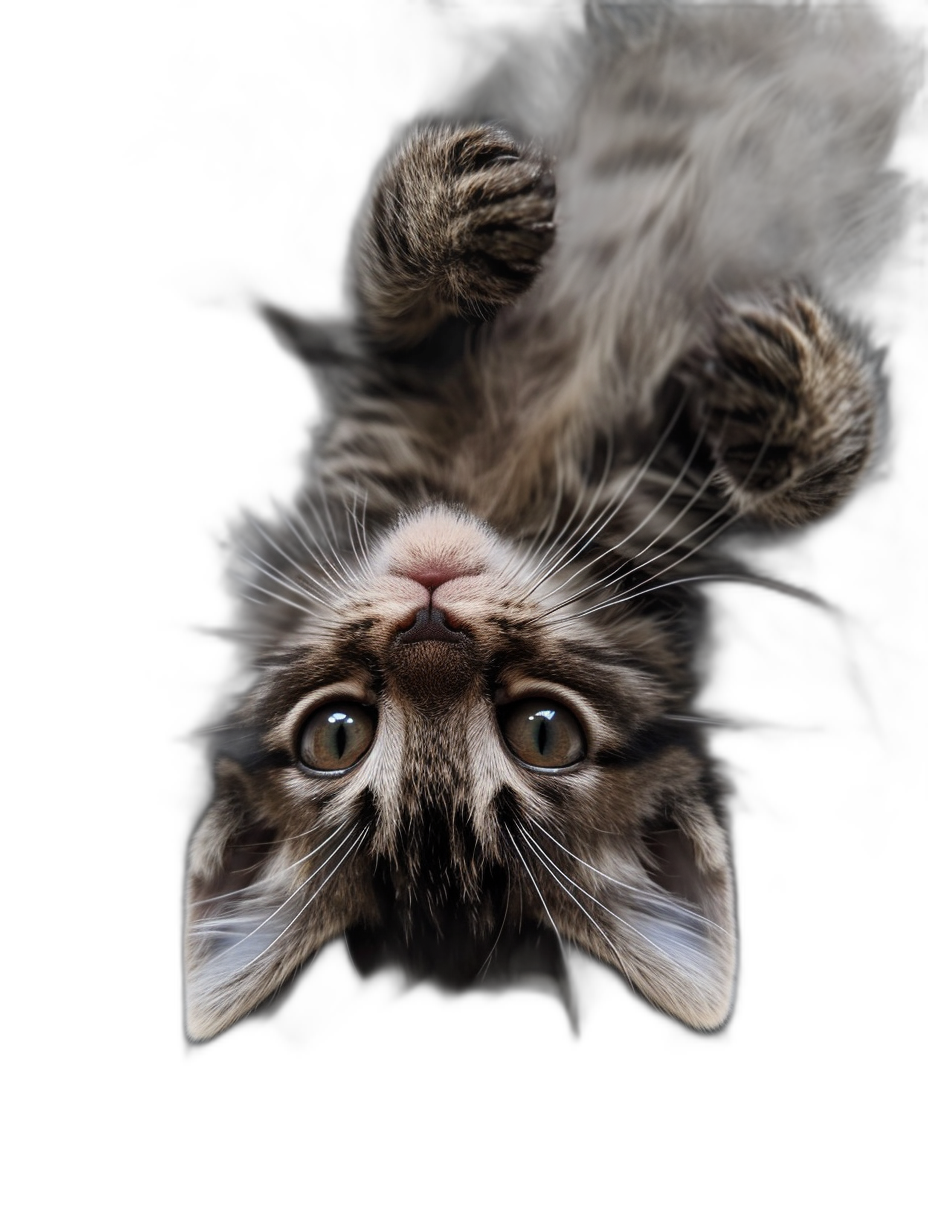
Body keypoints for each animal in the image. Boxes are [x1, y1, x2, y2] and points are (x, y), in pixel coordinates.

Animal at [181, 2, 911, 1039]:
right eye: (337, 735)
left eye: (543, 733)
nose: (430, 619)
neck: (502, 497)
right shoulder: (388, 394)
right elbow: (389, 305)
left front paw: (792, 398)